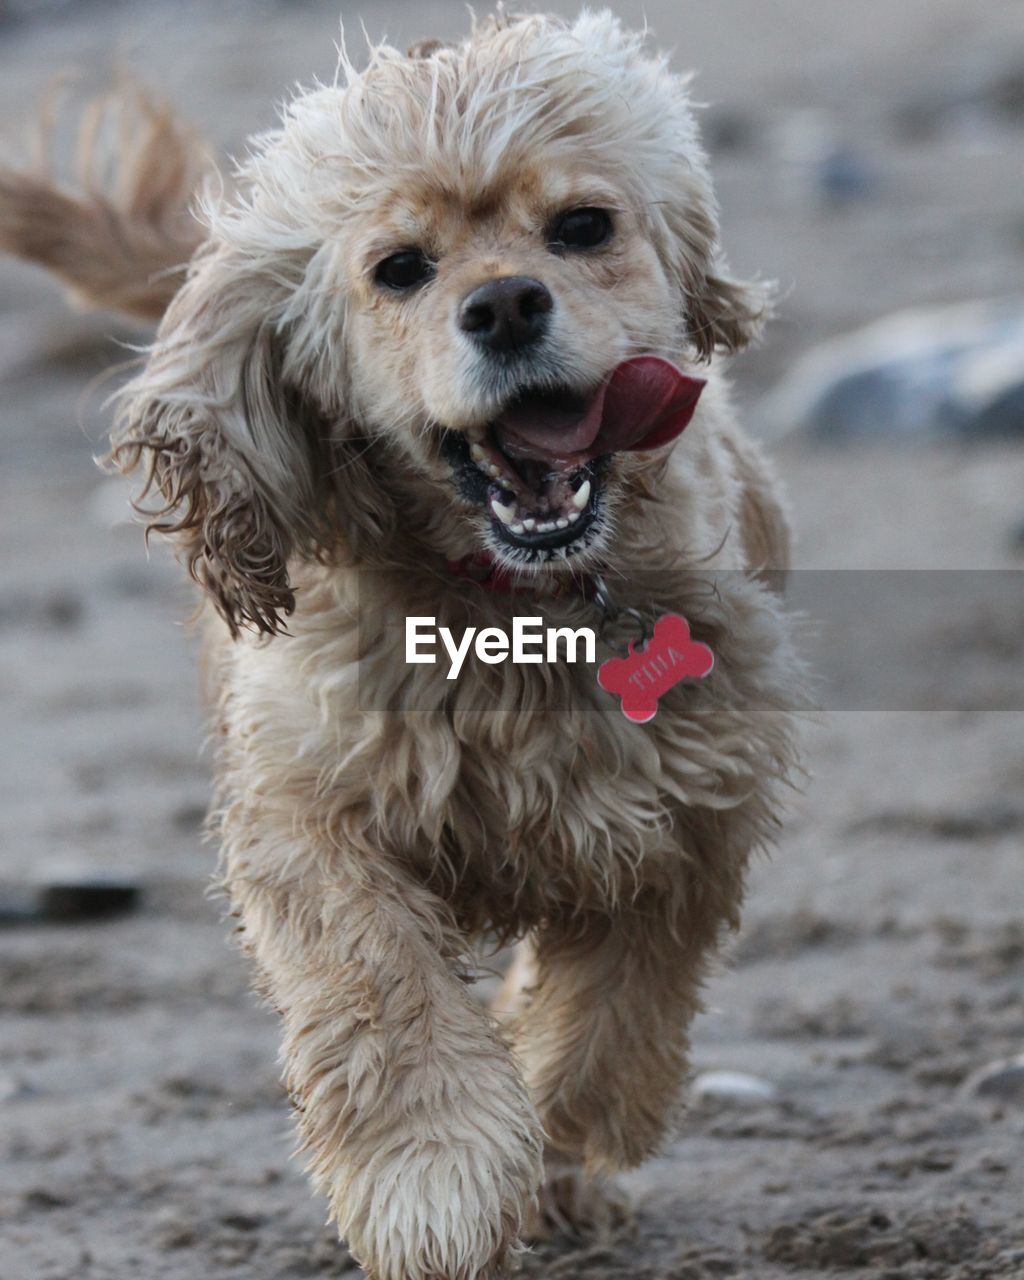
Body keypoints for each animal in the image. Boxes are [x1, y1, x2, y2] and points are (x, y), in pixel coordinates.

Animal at [0, 12, 798, 1280]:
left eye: (583, 226)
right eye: (399, 269)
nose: (507, 305)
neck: (518, 599)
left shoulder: (690, 809)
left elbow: (613, 1008)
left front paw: (560, 1144)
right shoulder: (307, 807)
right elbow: (375, 978)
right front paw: (437, 1176)